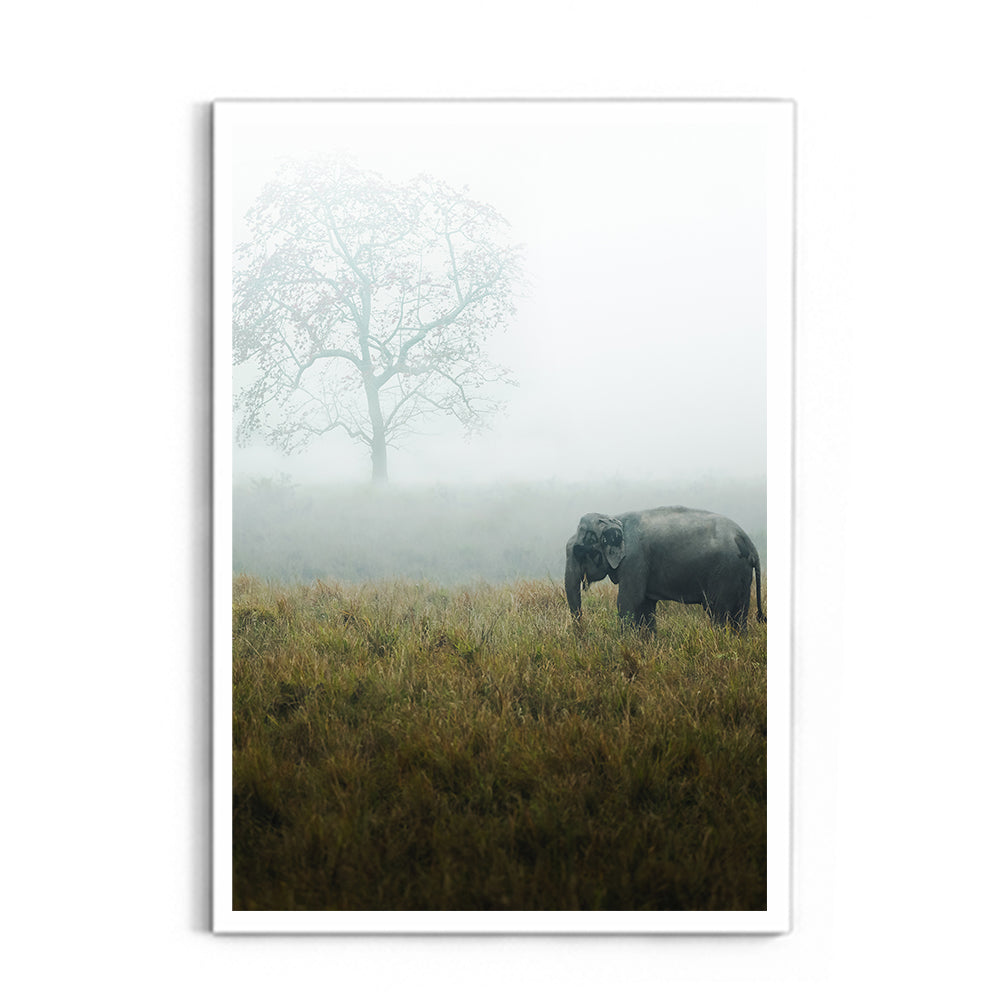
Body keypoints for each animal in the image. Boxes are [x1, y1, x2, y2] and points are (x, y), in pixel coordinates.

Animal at [565, 506, 765, 632]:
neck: (615, 518)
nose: (582, 632)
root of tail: (746, 539)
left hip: (725, 571)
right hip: (741, 573)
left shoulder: (635, 559)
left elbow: (628, 601)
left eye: (578, 551)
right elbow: (645, 605)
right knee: (740, 615)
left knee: (719, 612)